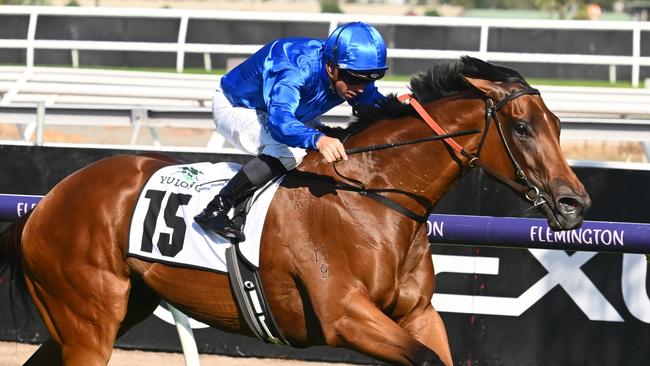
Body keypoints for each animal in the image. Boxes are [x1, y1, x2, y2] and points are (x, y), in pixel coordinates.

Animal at [0, 55, 588, 364]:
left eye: (560, 125)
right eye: (521, 127)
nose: (574, 202)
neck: (371, 198)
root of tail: (48, 201)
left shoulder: (417, 314)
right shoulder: (345, 316)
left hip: (111, 310)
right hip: (88, 320)